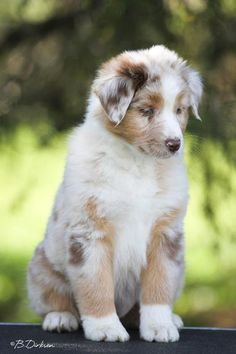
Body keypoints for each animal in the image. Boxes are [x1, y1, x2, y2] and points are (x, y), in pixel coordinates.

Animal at [27, 45, 202, 342]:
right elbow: (96, 284)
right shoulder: (90, 232)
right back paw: (60, 318)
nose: (175, 144)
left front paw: (159, 325)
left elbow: (159, 284)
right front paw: (105, 328)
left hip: (181, 269)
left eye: (180, 110)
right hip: (41, 265)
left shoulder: (165, 234)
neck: (138, 163)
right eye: (147, 110)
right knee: (52, 298)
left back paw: (169, 319)